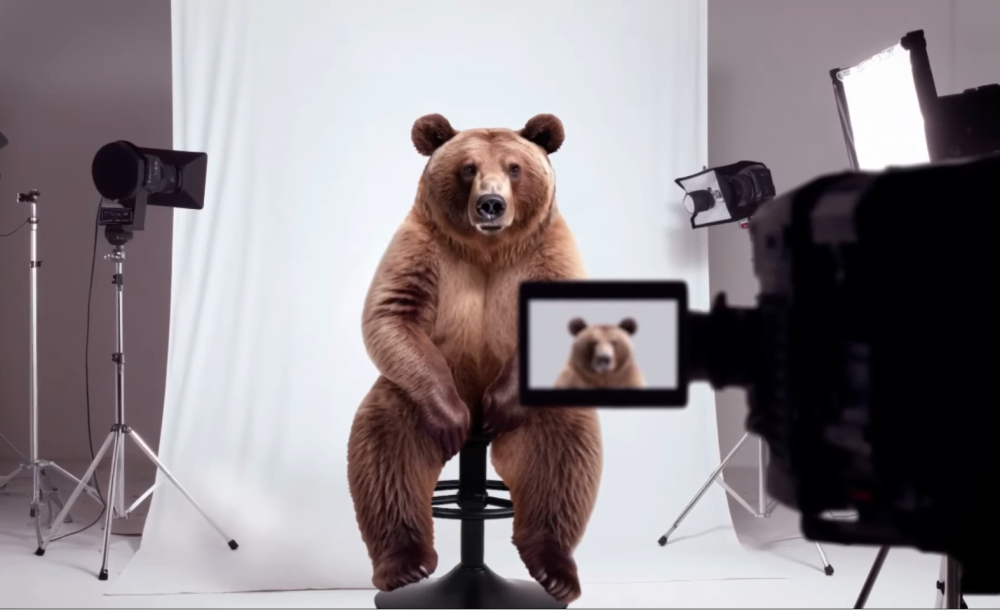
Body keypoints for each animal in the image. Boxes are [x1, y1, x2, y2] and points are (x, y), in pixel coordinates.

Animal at [346, 111, 600, 600]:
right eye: (468, 167)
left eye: (514, 167)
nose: (490, 204)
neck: (488, 249)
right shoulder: (420, 248)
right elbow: (392, 313)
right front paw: (452, 421)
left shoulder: (548, 251)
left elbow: (557, 320)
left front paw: (501, 405)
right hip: (412, 395)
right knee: (386, 448)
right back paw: (404, 565)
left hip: (544, 406)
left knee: (563, 451)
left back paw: (554, 570)